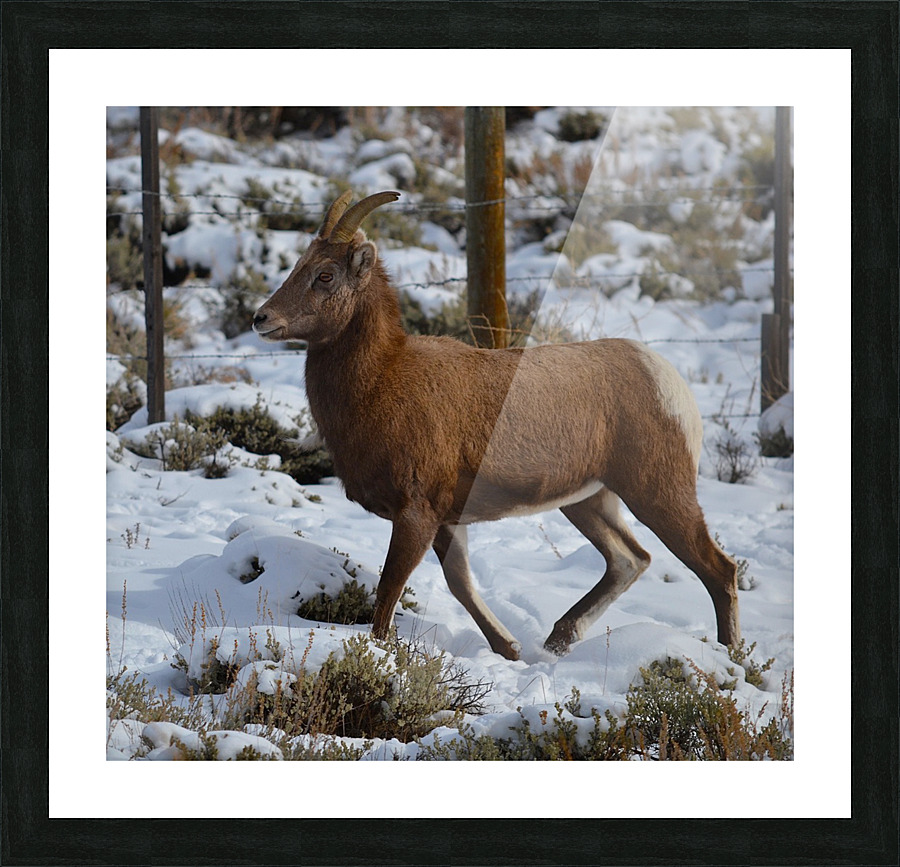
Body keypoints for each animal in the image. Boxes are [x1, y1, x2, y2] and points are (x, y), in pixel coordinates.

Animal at [253, 190, 740, 660]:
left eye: (325, 275)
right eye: (299, 265)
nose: (262, 318)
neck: (383, 379)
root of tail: (668, 381)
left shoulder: (416, 514)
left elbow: (390, 592)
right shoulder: (446, 519)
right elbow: (460, 584)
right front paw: (510, 649)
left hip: (657, 493)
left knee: (717, 569)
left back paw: (732, 656)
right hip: (590, 501)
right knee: (630, 559)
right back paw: (558, 639)